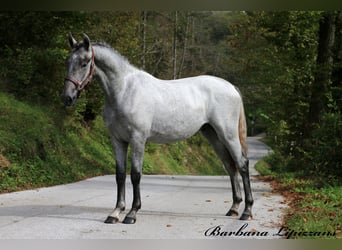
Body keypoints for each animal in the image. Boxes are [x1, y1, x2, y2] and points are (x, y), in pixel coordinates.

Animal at [62, 33, 254, 225]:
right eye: (68, 61)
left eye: (84, 63)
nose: (67, 98)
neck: (124, 90)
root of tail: (231, 87)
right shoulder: (117, 140)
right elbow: (120, 175)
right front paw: (115, 213)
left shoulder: (138, 139)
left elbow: (136, 175)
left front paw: (132, 213)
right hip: (213, 135)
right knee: (230, 166)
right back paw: (234, 208)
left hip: (228, 135)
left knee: (242, 164)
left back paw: (247, 211)